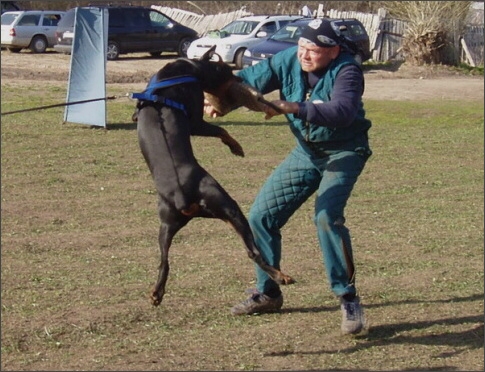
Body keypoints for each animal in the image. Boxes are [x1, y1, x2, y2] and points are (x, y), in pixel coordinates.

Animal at [133, 46, 294, 306]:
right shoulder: (195, 122)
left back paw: (157, 293)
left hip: (167, 224)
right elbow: (221, 129)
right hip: (228, 205)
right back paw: (282, 276)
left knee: (164, 261)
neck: (191, 69)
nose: (241, 79)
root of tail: (183, 197)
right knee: (253, 251)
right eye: (228, 72)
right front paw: (236, 147)